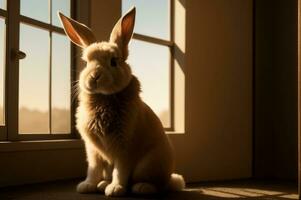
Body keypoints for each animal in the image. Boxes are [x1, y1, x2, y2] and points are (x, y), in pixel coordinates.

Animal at [57, 7, 184, 197]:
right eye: (86, 62)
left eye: (113, 61)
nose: (94, 76)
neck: (104, 98)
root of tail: (170, 177)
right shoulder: (93, 151)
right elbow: (93, 170)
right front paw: (86, 186)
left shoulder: (125, 149)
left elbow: (121, 171)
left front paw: (115, 190)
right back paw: (102, 184)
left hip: (148, 166)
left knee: (154, 184)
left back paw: (141, 188)